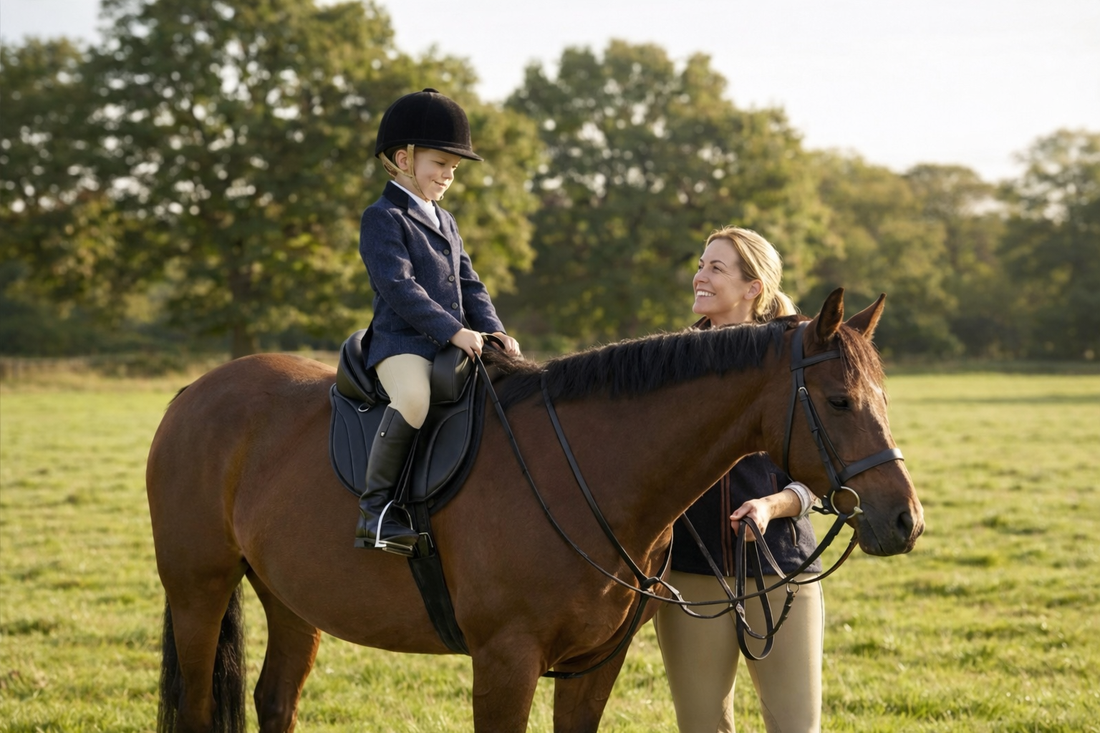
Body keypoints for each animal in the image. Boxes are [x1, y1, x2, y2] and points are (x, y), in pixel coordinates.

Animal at [147, 288, 924, 732]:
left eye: (886, 398)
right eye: (839, 401)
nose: (905, 520)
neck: (590, 471)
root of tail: (194, 392)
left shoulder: (592, 666)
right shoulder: (505, 663)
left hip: (290, 598)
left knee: (275, 701)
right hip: (198, 591)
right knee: (196, 710)